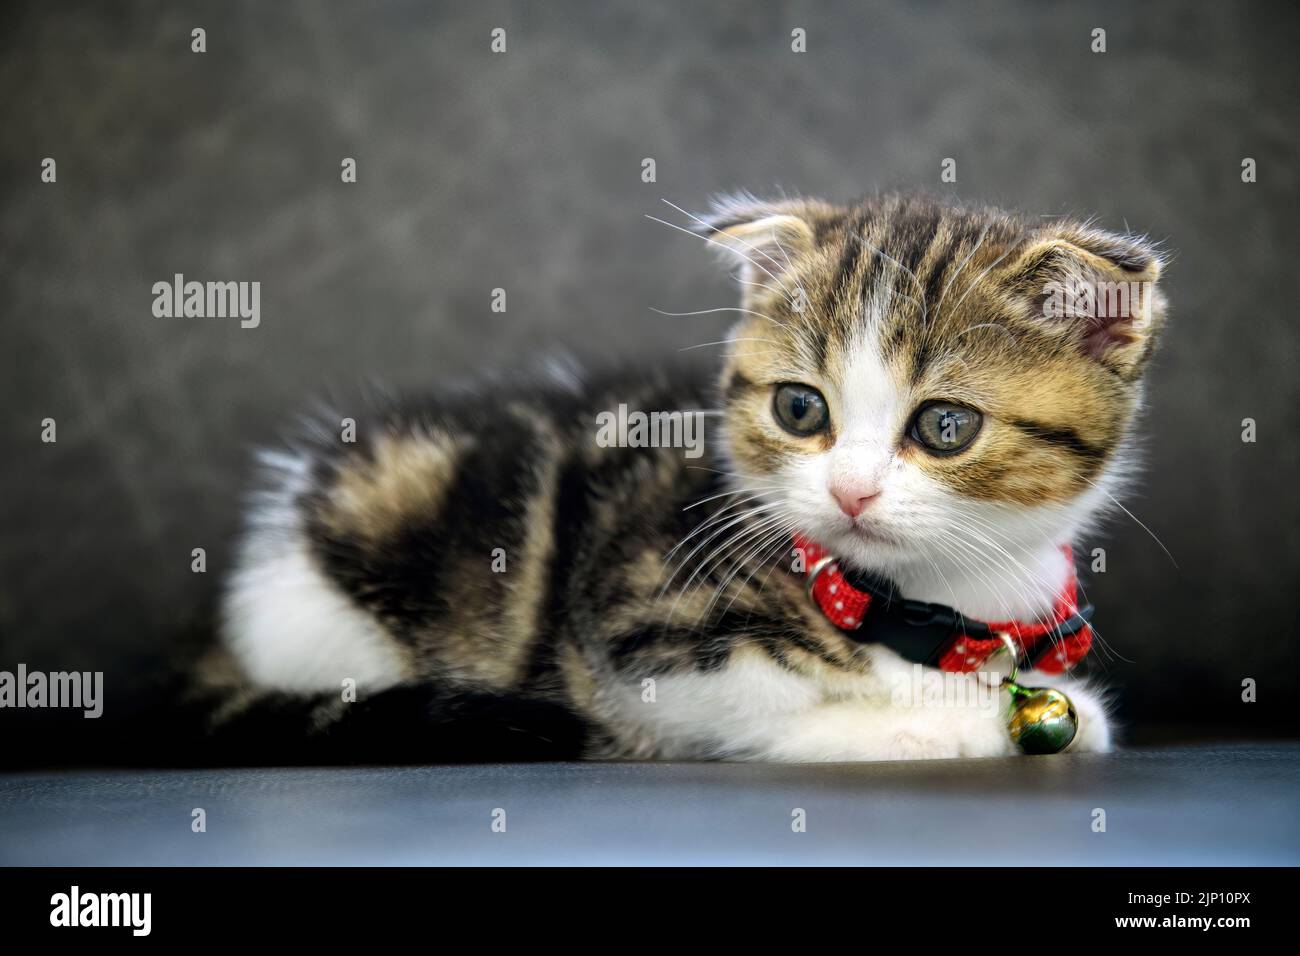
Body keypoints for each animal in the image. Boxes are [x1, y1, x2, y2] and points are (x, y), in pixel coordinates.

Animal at [200, 195, 1170, 764]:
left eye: (945, 426)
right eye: (800, 409)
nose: (850, 493)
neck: (927, 602)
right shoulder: (637, 629)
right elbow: (750, 702)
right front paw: (934, 719)